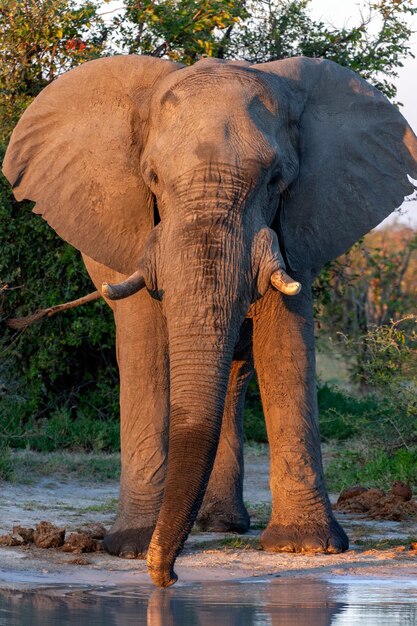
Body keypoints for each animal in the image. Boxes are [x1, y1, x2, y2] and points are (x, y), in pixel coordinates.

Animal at [3, 53, 416, 584]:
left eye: (275, 181)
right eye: (152, 178)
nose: (170, 577)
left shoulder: (296, 227)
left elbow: (286, 345)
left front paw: (307, 548)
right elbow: (145, 349)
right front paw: (131, 548)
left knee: (236, 375)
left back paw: (220, 524)